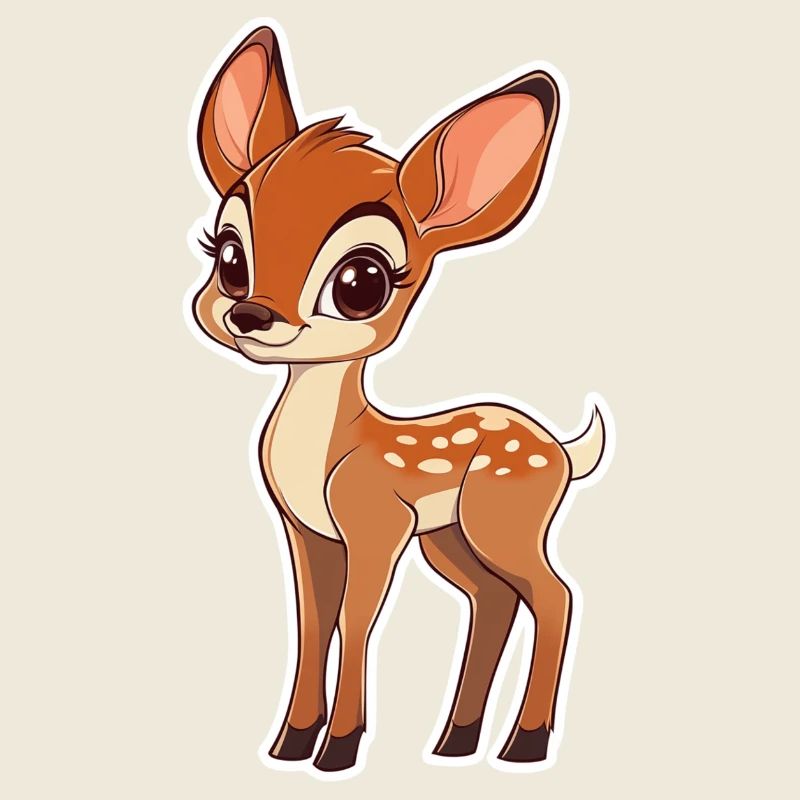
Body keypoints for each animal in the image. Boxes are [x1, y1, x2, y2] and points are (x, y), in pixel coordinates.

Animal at [189, 25, 607, 773]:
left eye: (363, 282)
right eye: (228, 254)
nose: (251, 315)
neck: (331, 449)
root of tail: (563, 450)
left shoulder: (375, 523)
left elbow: (357, 620)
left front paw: (338, 749)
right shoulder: (308, 533)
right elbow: (313, 623)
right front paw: (291, 743)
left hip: (504, 519)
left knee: (555, 594)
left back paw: (524, 745)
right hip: (450, 537)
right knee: (495, 599)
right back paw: (456, 741)